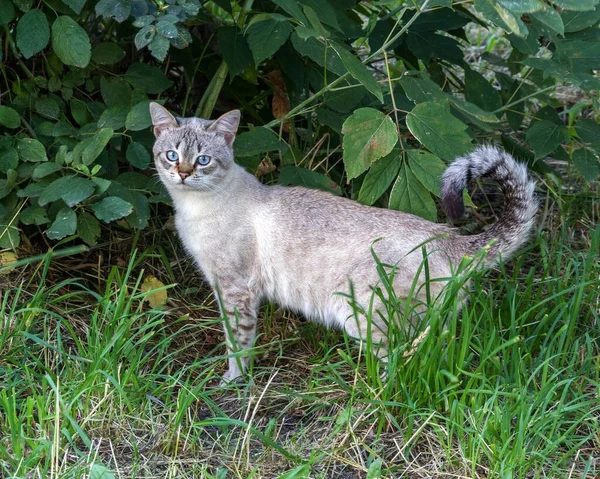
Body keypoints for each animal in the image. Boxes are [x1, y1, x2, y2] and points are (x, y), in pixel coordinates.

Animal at [148, 102, 536, 382]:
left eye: (203, 160)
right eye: (171, 155)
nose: (183, 173)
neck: (193, 209)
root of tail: (451, 239)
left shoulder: (234, 289)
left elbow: (237, 342)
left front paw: (232, 381)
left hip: (363, 314)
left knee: (401, 360)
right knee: (433, 348)